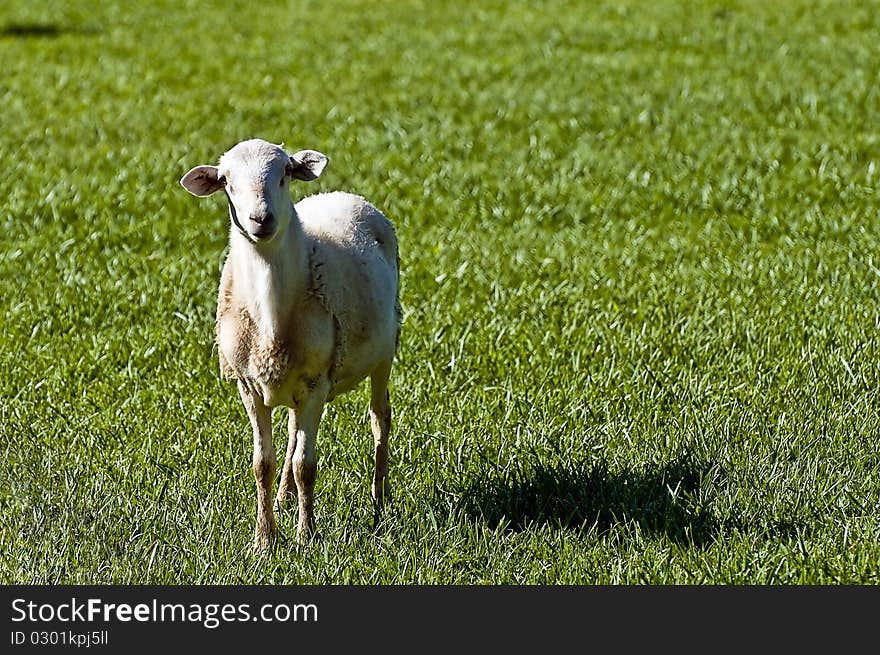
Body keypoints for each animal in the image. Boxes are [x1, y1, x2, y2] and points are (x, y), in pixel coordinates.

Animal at [180, 137, 400, 548]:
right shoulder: (249, 387)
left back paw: (380, 498)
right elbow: (262, 464)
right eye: (226, 181)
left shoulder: (316, 384)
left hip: (385, 350)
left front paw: (305, 537)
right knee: (293, 432)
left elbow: (306, 465)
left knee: (379, 419)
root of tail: (343, 195)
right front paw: (264, 539)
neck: (271, 315)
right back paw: (284, 497)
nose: (260, 219)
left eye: (285, 172)